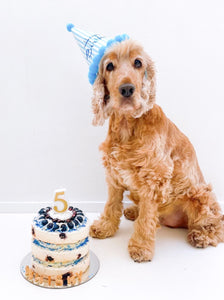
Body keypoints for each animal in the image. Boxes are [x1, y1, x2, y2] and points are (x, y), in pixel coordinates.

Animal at [88, 39, 223, 260]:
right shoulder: (114, 174)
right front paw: (105, 227)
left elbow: (147, 218)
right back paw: (133, 211)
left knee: (216, 221)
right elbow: (111, 205)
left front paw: (141, 247)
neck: (127, 126)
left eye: (138, 62)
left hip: (199, 196)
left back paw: (201, 236)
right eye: (109, 66)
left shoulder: (154, 177)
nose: (127, 89)